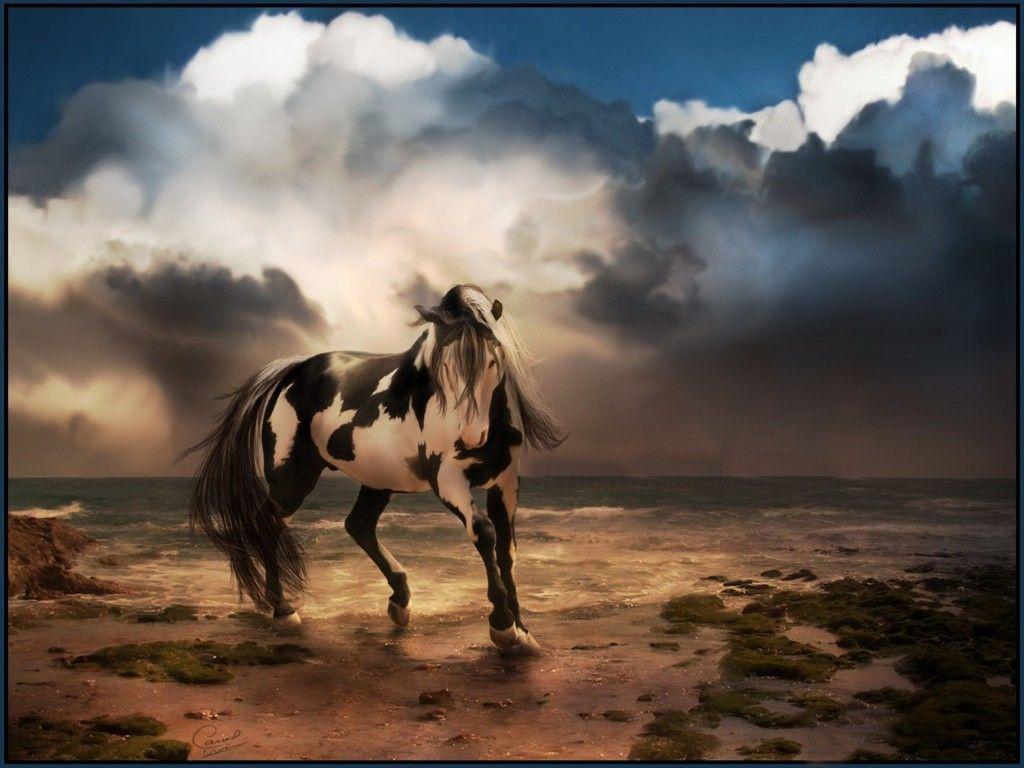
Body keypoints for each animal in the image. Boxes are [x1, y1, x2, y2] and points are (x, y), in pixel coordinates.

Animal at [185, 284, 564, 653]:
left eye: (492, 361)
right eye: (442, 367)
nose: (471, 438)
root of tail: (295, 370)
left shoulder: (506, 483)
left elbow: (507, 551)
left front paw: (522, 630)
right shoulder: (448, 480)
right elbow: (484, 533)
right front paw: (502, 625)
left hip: (377, 480)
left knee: (358, 525)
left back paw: (399, 601)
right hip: (292, 478)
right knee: (270, 522)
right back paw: (283, 611)